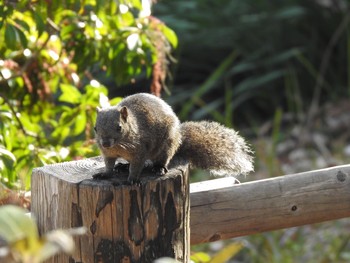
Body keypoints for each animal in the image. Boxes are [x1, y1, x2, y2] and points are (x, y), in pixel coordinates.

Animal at [93, 93, 252, 184]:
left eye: (119, 127)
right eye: (95, 128)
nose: (105, 143)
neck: (119, 146)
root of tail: (179, 140)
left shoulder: (140, 150)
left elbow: (137, 166)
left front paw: (132, 179)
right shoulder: (108, 154)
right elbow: (109, 165)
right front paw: (105, 174)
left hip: (166, 146)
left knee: (160, 160)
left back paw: (158, 168)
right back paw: (123, 166)